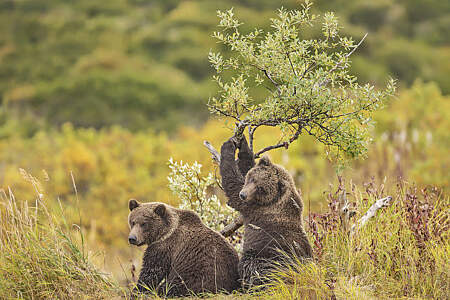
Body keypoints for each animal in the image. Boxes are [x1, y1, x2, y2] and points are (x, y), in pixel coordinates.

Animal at [219, 137, 312, 290]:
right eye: (252, 178)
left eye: (261, 188)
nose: (243, 194)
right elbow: (246, 166)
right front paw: (242, 144)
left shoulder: (254, 207)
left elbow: (232, 183)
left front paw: (227, 148)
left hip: (267, 256)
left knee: (251, 265)